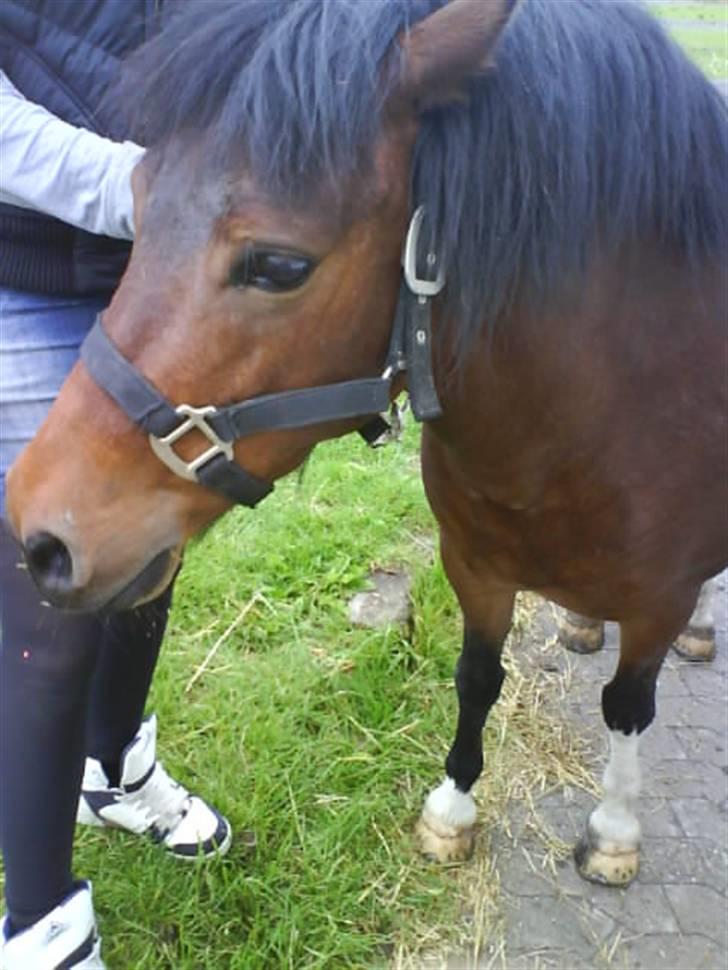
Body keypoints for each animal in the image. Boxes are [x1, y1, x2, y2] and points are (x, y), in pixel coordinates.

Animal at [6, 0, 727, 890]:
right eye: (137, 200)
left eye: (279, 265)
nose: (39, 531)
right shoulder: (475, 565)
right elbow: (477, 678)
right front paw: (452, 811)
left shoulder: (660, 594)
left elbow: (628, 707)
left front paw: (613, 832)